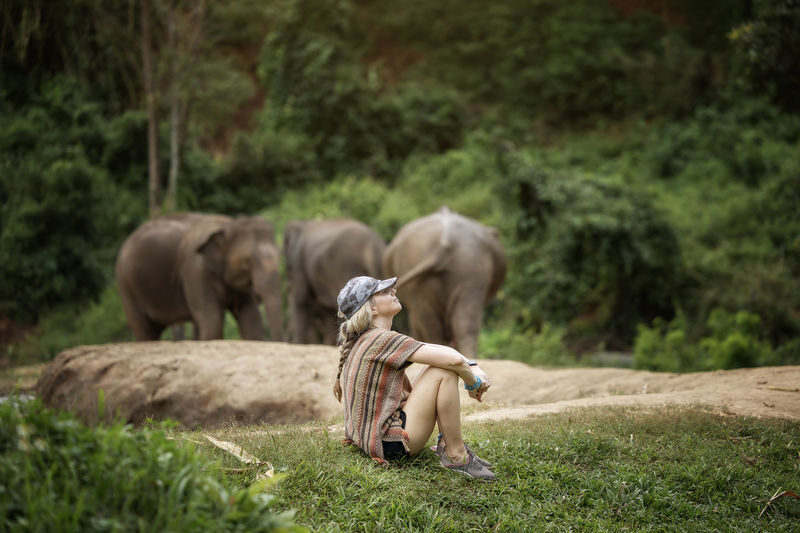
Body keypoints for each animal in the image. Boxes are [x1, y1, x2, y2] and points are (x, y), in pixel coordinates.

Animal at [115, 212, 284, 341]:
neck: (228, 225)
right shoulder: (195, 270)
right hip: (126, 285)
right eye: (246, 263)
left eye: (279, 256)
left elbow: (251, 318)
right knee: (144, 329)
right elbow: (212, 319)